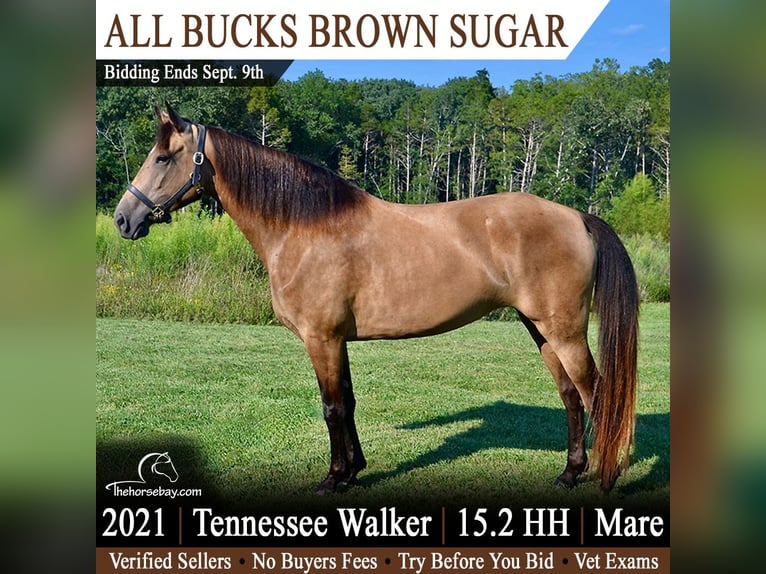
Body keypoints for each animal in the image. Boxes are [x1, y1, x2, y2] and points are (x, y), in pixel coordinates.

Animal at [113, 103, 639, 495]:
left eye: (163, 158)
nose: (123, 218)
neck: (304, 227)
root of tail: (576, 216)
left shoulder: (320, 338)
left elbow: (331, 406)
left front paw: (332, 479)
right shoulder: (336, 340)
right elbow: (346, 400)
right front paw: (353, 471)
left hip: (564, 330)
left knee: (596, 392)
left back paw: (609, 473)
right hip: (541, 329)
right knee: (570, 395)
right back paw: (570, 473)